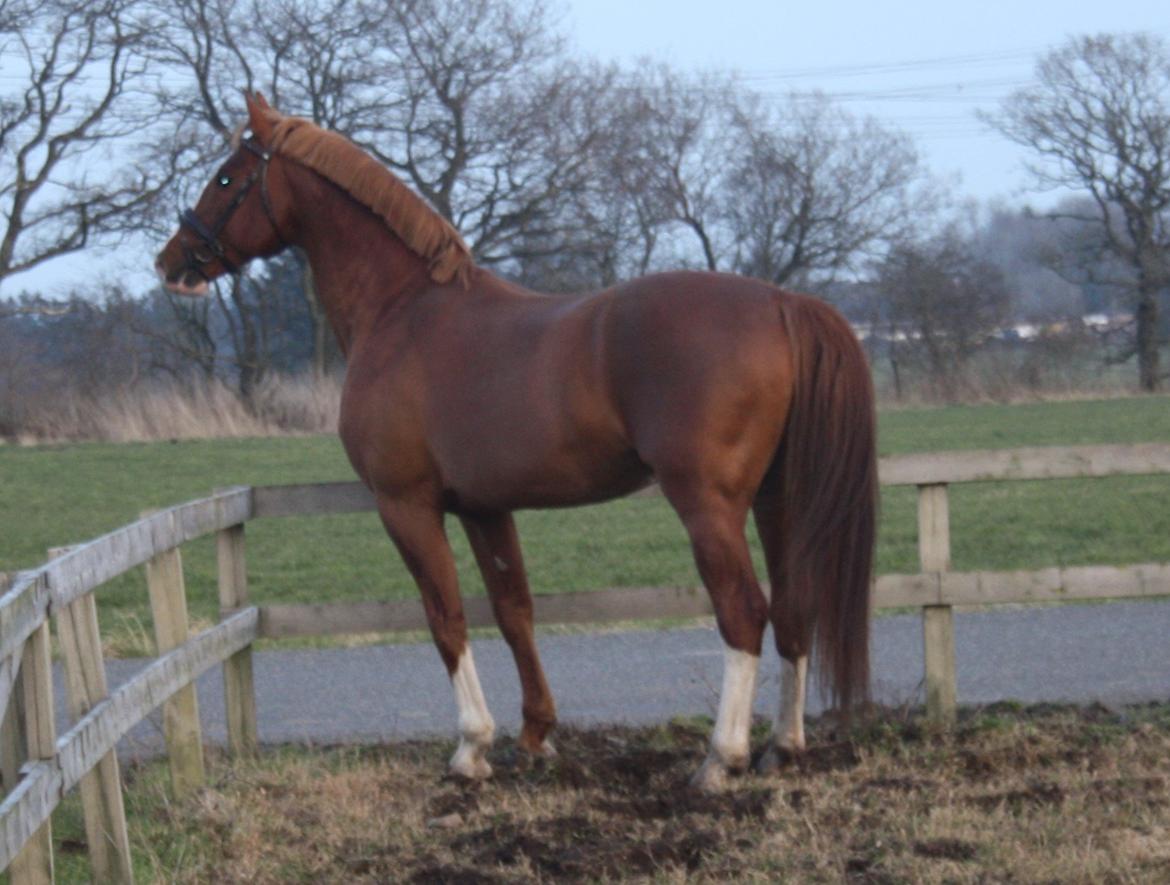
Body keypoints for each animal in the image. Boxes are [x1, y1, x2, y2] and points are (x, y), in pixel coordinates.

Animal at [155, 93, 875, 791]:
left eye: (227, 177)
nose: (171, 261)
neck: (401, 310)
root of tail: (781, 302)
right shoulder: (484, 507)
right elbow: (514, 611)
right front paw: (536, 736)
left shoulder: (406, 505)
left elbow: (445, 616)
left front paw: (471, 747)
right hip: (778, 498)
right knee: (794, 606)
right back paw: (783, 745)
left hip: (708, 503)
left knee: (744, 611)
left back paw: (721, 759)